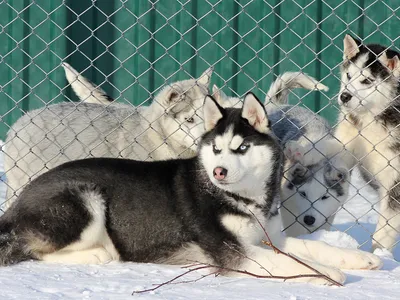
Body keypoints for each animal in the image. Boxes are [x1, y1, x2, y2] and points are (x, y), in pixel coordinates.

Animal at [0, 93, 382, 284]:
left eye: (242, 147)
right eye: (216, 147)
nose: (219, 171)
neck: (242, 199)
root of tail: (21, 199)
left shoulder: (272, 237)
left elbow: (313, 247)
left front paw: (358, 258)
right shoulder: (233, 251)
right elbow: (295, 263)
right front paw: (329, 274)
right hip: (85, 198)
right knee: (28, 248)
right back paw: (98, 253)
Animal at [212, 73, 350, 237]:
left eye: (325, 197)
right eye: (303, 194)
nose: (309, 219)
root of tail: (277, 105)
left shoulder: (330, 211)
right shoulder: (288, 204)